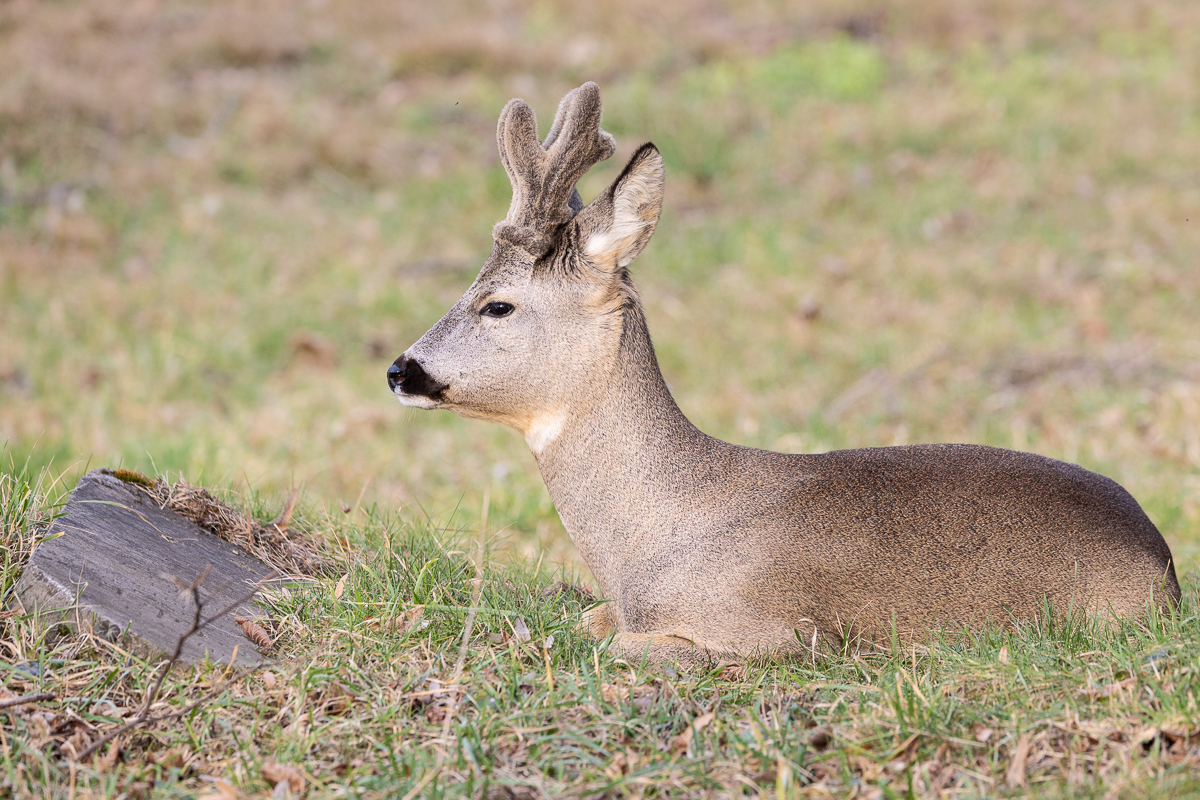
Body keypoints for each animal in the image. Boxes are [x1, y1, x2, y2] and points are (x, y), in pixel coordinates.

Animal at [386, 82, 1180, 671]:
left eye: (497, 303)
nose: (400, 369)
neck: (647, 541)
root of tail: (1164, 561)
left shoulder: (783, 632)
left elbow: (623, 647)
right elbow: (585, 621)